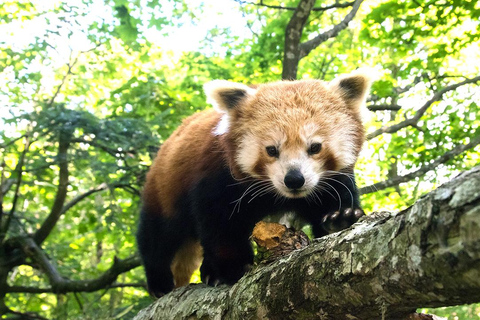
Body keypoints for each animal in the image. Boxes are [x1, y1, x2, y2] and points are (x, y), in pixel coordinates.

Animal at [137, 70, 374, 298]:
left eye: (315, 147)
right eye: (271, 150)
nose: (294, 179)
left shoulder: (331, 183)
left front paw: (340, 220)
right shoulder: (218, 177)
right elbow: (220, 226)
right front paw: (235, 268)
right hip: (165, 187)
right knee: (159, 234)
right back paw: (160, 281)